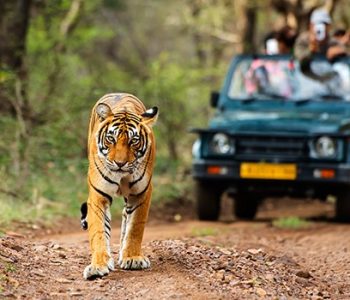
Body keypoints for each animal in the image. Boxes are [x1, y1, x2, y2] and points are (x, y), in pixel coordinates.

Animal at [82, 92, 159, 280]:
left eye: (134, 141)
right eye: (111, 138)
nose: (120, 163)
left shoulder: (141, 193)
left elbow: (135, 227)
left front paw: (132, 258)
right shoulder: (98, 195)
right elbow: (99, 231)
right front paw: (98, 266)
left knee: (126, 216)